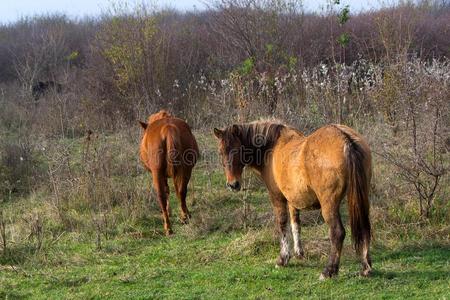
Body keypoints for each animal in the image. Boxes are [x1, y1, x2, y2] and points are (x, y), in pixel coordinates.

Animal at [214, 121, 372, 278]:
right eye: (221, 152)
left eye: (238, 150)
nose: (233, 184)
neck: (272, 147)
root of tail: (345, 139)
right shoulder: (292, 200)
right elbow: (296, 224)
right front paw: (299, 253)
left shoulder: (277, 198)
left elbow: (282, 225)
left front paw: (283, 259)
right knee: (365, 228)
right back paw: (366, 267)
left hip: (329, 205)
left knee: (337, 232)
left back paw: (329, 271)